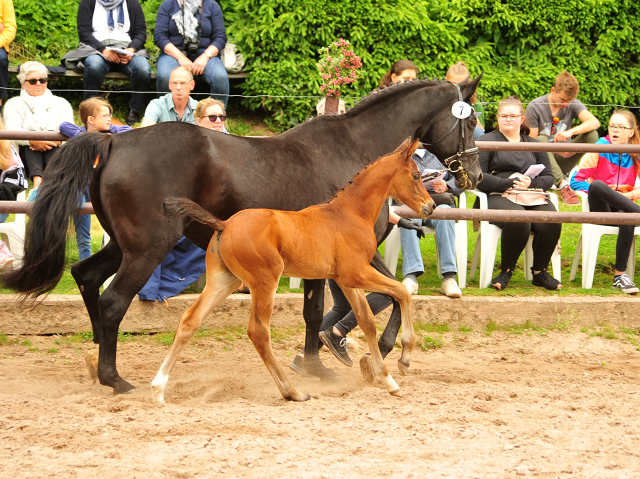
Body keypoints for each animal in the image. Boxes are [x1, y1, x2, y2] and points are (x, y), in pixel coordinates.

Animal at [152, 139, 436, 404]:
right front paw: (405, 358)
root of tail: (224, 224)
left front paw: (387, 380)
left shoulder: (345, 280)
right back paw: (292, 391)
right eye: (416, 175)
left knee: (190, 320)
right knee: (259, 332)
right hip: (265, 280)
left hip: (224, 280)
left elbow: (367, 320)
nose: (431, 206)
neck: (350, 213)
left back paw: (158, 389)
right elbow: (402, 292)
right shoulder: (356, 273)